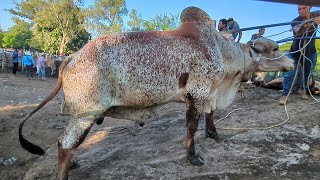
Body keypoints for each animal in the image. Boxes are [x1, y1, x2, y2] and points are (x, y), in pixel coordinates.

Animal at [16, 6, 292, 179]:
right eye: (275, 48)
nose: (291, 62)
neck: (223, 54)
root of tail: (71, 57)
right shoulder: (197, 95)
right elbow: (192, 127)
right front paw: (193, 157)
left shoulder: (208, 95)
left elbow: (210, 117)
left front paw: (213, 134)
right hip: (86, 114)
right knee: (64, 145)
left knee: (65, 144)